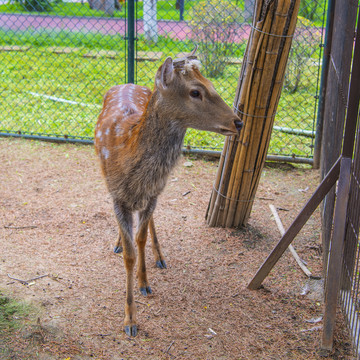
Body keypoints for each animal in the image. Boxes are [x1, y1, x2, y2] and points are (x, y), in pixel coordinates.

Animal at [94, 52, 243, 336]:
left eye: (211, 83)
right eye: (195, 91)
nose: (238, 121)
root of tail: (128, 82)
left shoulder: (153, 194)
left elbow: (140, 239)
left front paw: (144, 282)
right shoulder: (117, 195)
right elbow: (129, 253)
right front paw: (130, 321)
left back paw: (159, 257)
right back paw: (119, 242)